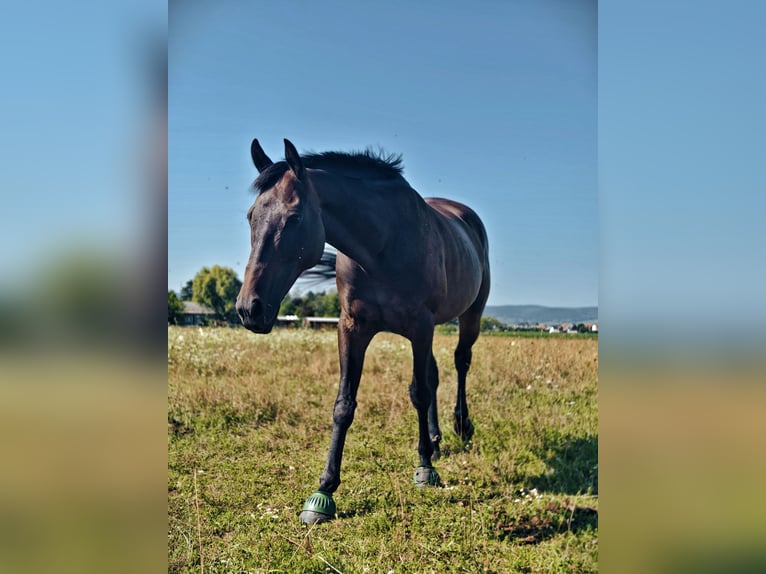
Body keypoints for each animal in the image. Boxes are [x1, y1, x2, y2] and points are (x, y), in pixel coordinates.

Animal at [236, 139, 491, 523]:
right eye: (251, 216)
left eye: (294, 218)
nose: (249, 308)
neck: (381, 246)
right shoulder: (353, 328)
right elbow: (344, 404)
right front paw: (323, 491)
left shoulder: (420, 326)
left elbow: (418, 393)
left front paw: (424, 468)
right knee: (434, 374)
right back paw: (435, 439)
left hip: (469, 314)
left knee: (461, 362)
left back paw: (460, 427)